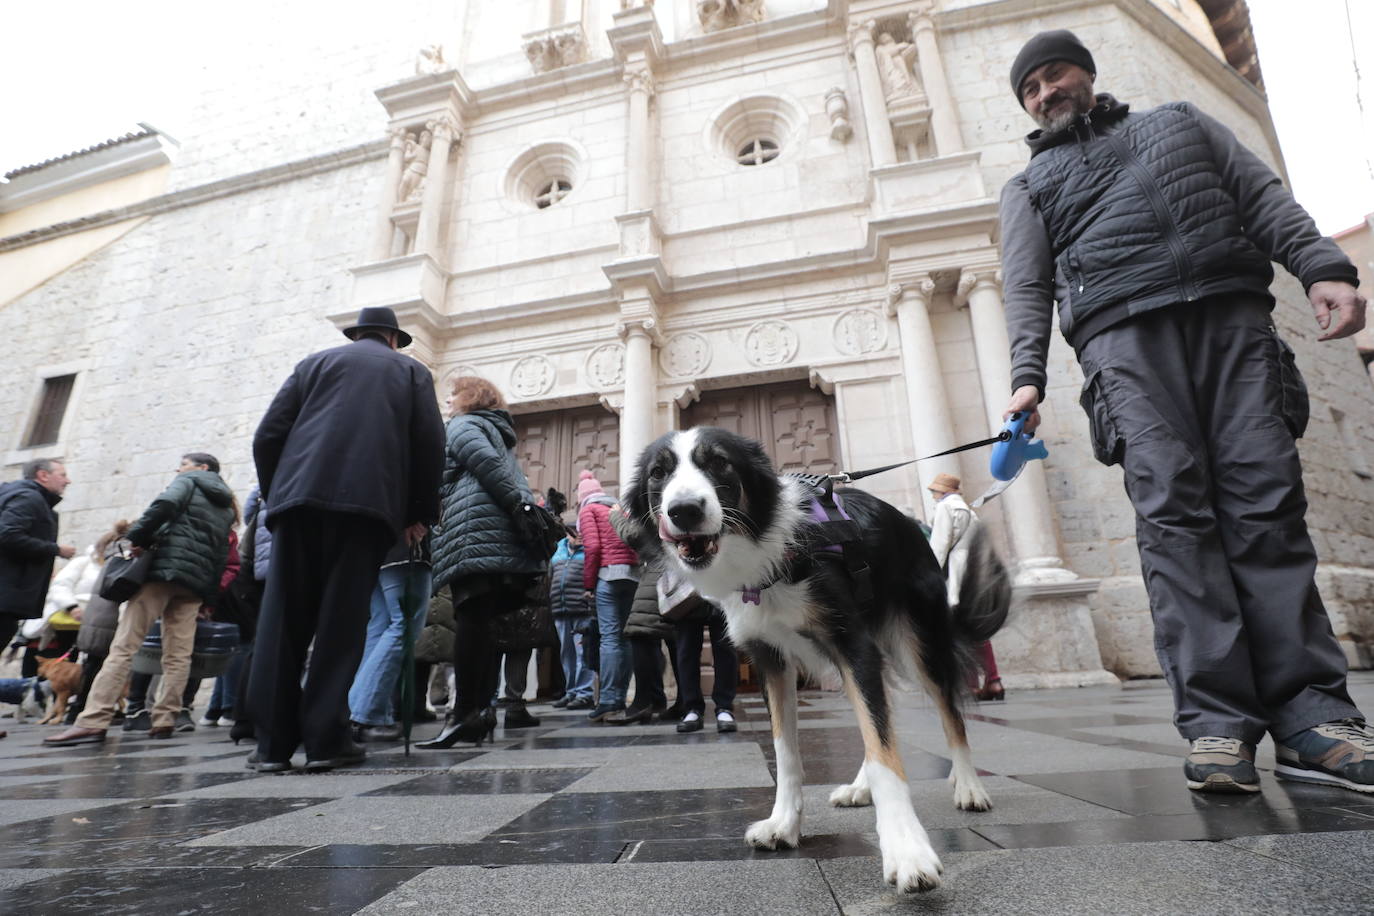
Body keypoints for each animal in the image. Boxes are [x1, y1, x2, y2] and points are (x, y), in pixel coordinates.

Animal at [621, 425, 1011, 889]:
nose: (683, 511)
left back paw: (968, 786)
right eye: (658, 474)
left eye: (719, 463)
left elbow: (884, 749)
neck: (771, 556)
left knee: (949, 711)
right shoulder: (770, 658)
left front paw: (907, 850)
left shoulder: (851, 644)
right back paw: (860, 787)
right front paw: (783, 824)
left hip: (920, 640)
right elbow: (787, 749)